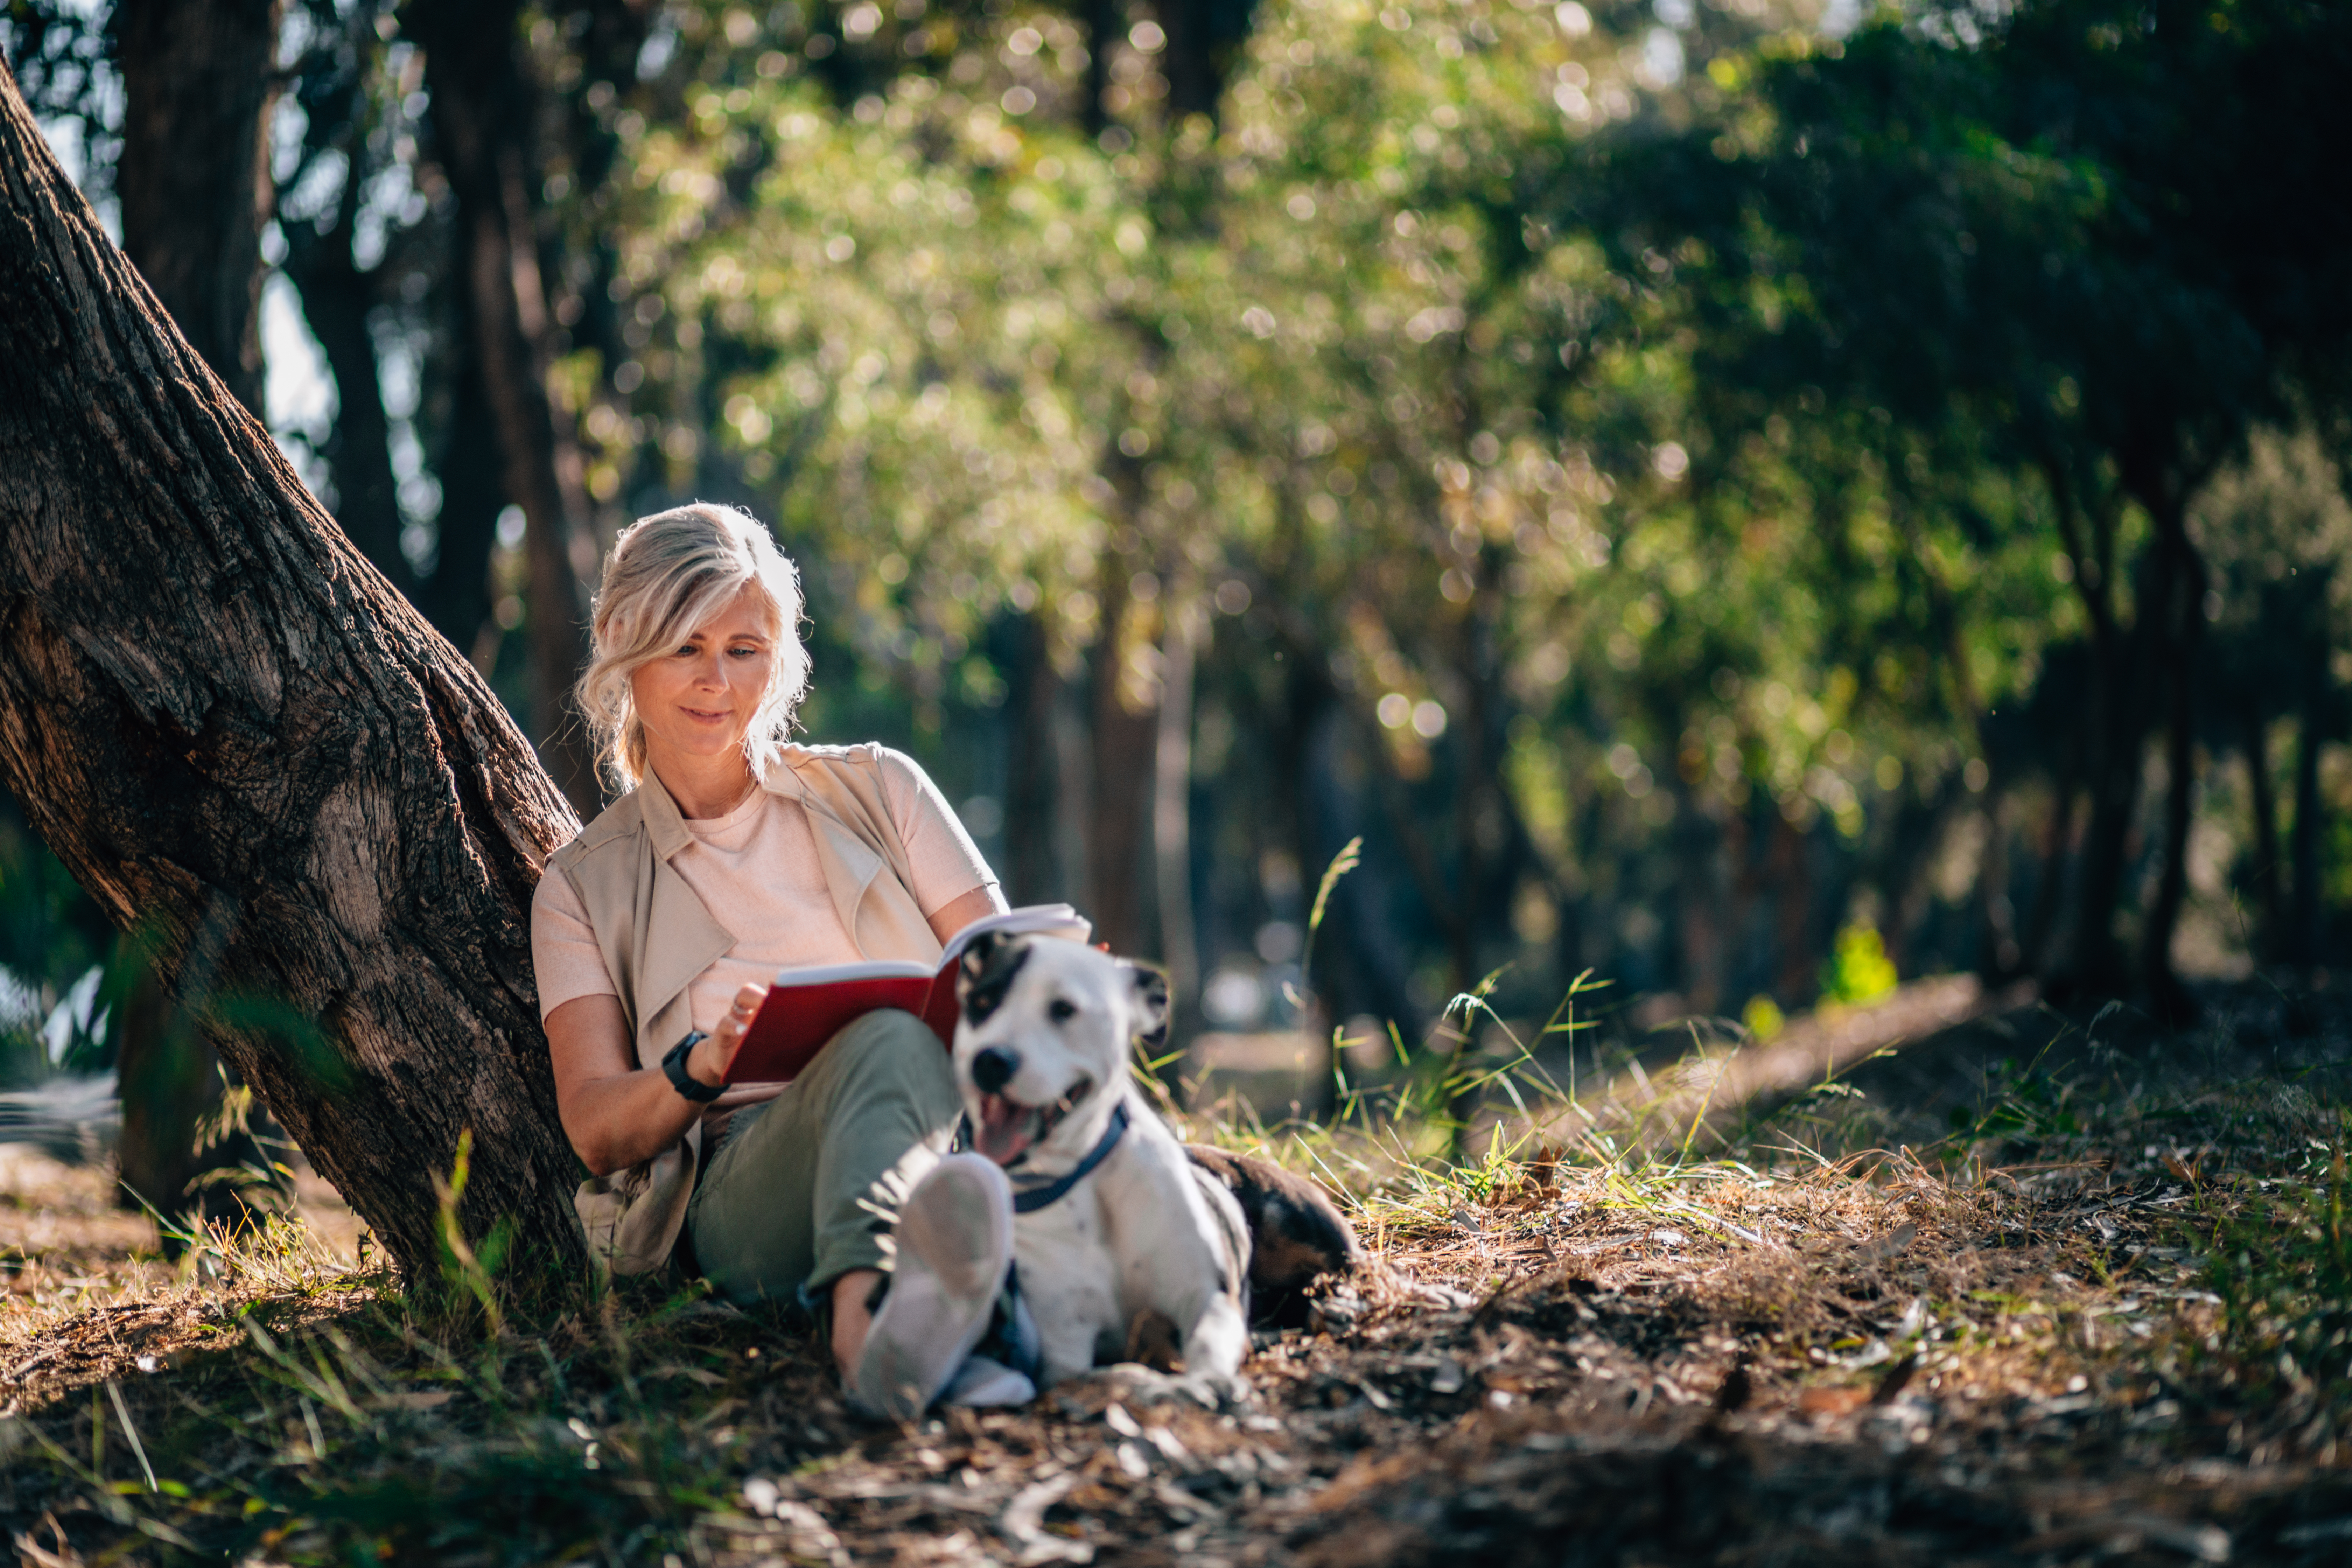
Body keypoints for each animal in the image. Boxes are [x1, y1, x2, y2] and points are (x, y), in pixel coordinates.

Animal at [955, 931, 1364, 1410]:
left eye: (1064, 1009)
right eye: (982, 1002)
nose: (990, 1060)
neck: (1085, 1179)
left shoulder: (1207, 1298)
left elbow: (1206, 1341)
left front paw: (1209, 1378)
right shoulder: (1062, 1356)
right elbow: (1111, 1375)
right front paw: (1160, 1384)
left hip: (1299, 1224)